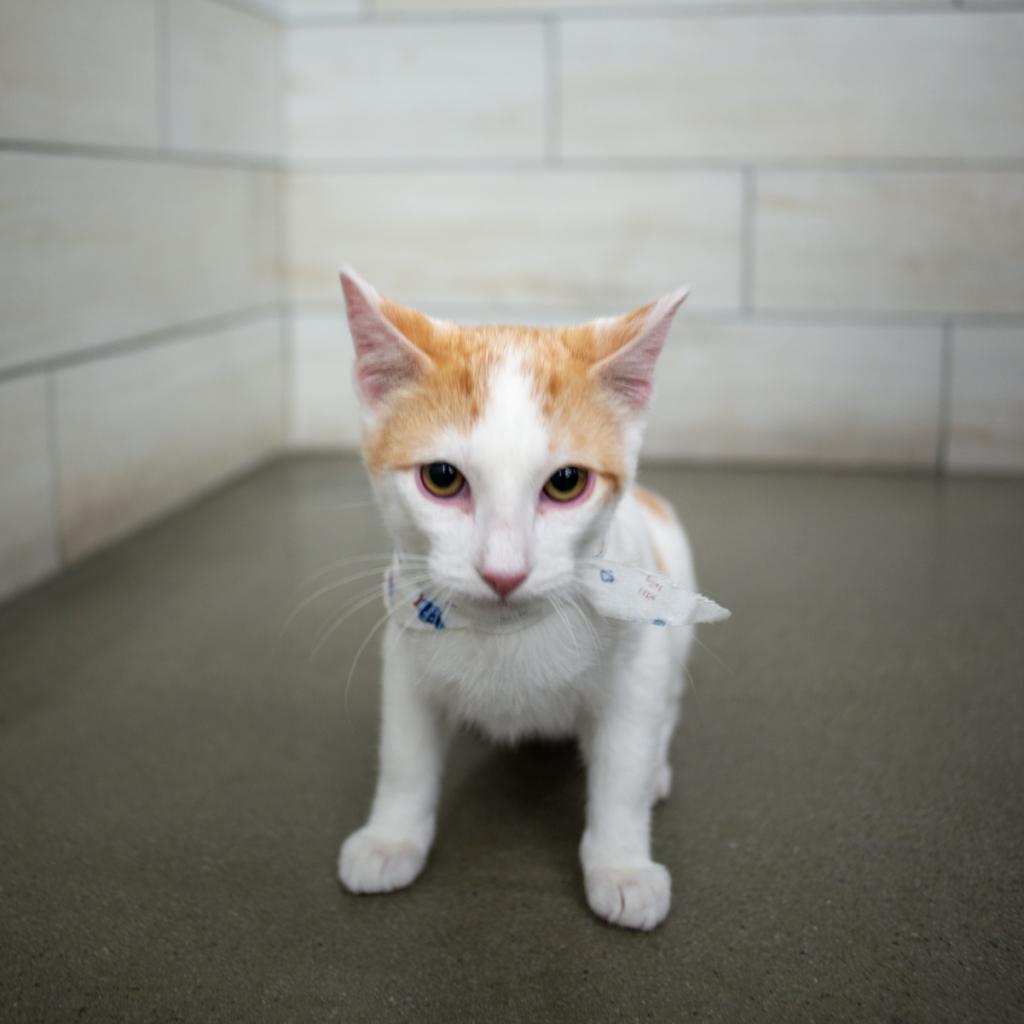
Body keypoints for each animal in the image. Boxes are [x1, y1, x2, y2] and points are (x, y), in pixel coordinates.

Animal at [339, 268, 700, 933]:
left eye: (566, 483)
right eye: (442, 478)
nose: (502, 571)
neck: (507, 632)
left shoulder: (639, 668)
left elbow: (624, 766)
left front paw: (622, 866)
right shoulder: (405, 651)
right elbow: (405, 754)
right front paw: (391, 837)